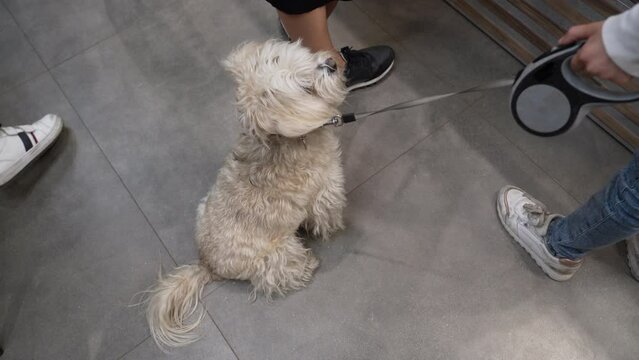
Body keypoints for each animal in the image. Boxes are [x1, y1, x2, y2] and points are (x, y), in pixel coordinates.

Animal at [144, 39, 348, 348]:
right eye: (306, 88)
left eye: (299, 61)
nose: (331, 63)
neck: (285, 141)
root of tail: (206, 265)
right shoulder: (326, 188)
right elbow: (327, 212)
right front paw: (334, 228)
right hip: (277, 254)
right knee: (281, 273)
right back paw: (307, 266)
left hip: (202, 207)